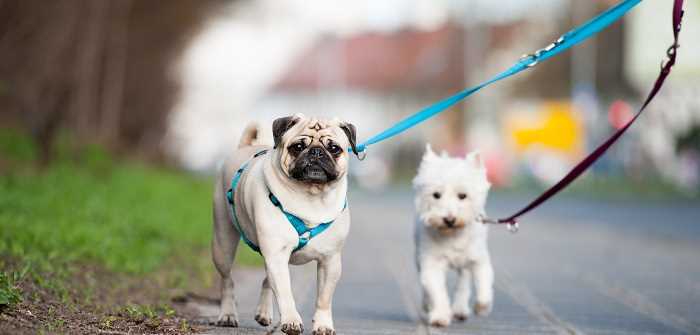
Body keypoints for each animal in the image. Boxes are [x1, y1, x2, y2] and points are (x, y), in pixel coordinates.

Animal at [211, 113, 358, 335]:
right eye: (297, 147)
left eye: (334, 148)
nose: (316, 151)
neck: (312, 197)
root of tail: (244, 147)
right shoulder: (277, 255)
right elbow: (285, 292)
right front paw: (291, 321)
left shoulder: (330, 261)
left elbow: (324, 298)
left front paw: (323, 325)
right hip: (223, 245)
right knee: (228, 281)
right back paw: (227, 315)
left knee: (266, 280)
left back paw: (263, 313)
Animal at [412, 145, 494, 328]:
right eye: (436, 195)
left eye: (462, 195)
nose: (449, 219)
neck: (453, 235)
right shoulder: (431, 262)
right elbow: (436, 291)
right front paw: (440, 316)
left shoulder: (479, 259)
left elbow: (483, 282)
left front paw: (482, 307)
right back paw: (428, 305)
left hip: (465, 264)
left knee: (463, 281)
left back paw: (460, 309)